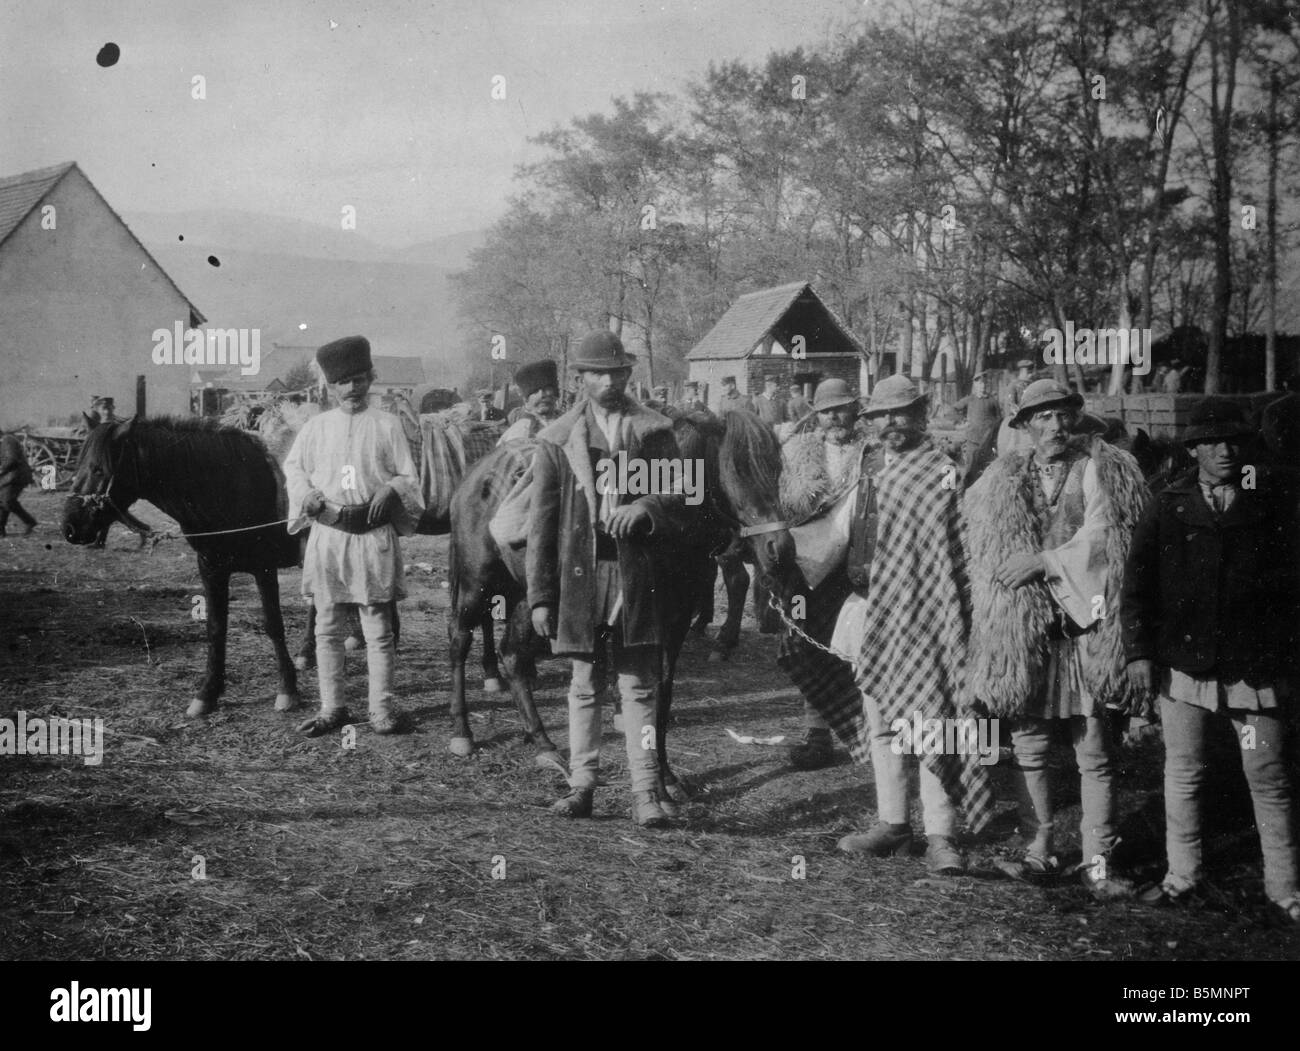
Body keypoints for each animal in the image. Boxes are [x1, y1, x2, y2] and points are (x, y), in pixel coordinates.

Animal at [64, 413, 302, 718]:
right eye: (78, 466)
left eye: (98, 470)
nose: (70, 527)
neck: (234, 481)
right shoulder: (211, 567)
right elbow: (215, 628)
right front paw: (208, 693)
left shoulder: (263, 567)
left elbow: (273, 624)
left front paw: (287, 688)